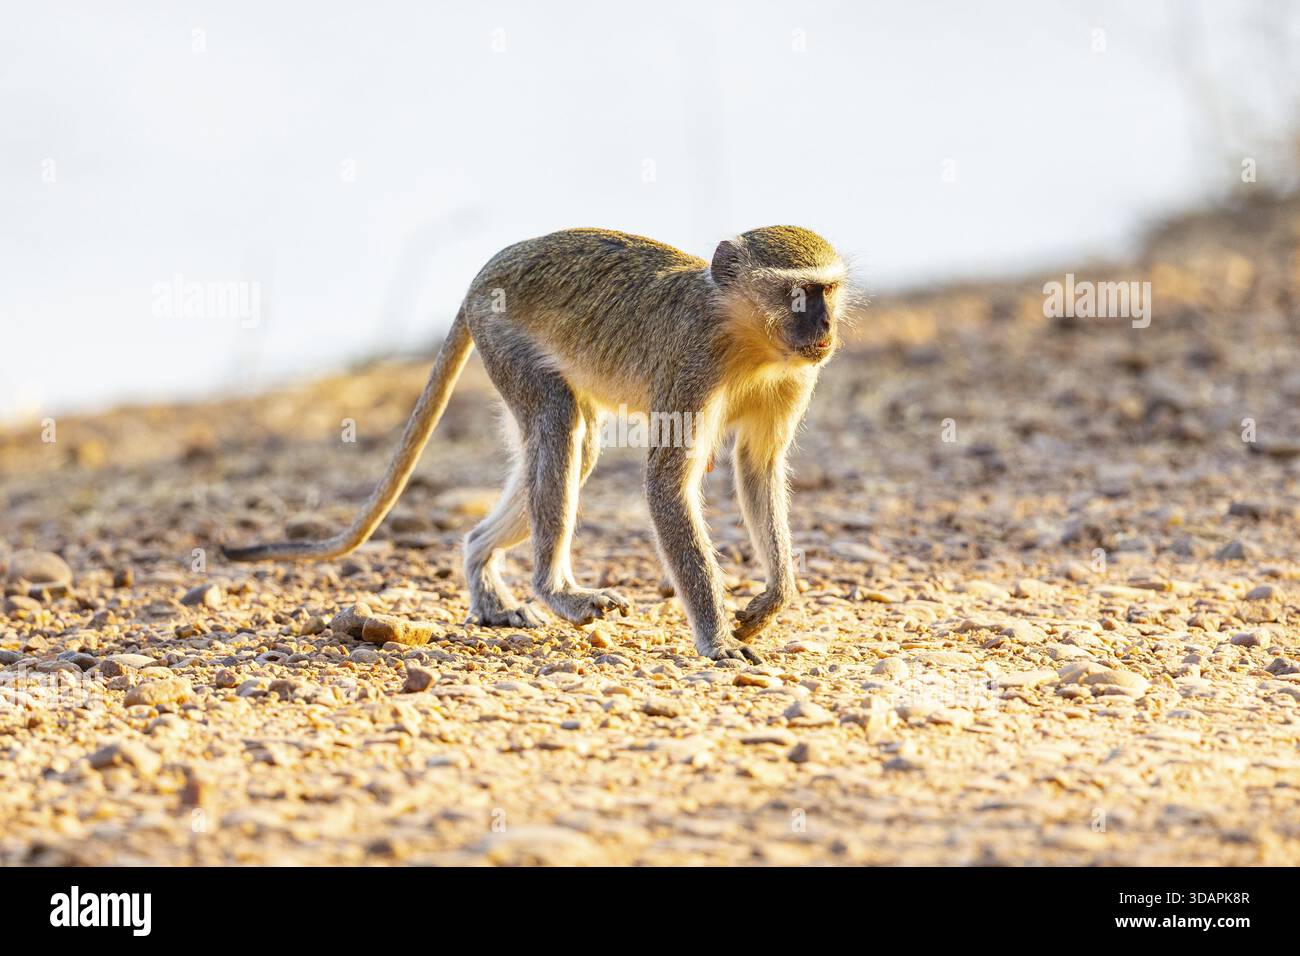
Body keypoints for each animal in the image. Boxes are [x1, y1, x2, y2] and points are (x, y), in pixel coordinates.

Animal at [222, 226, 851, 662]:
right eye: (799, 295)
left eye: (827, 292)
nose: (825, 330)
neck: (745, 339)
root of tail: (489, 269)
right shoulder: (692, 364)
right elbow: (668, 481)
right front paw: (717, 639)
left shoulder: (797, 376)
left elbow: (758, 467)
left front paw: (772, 599)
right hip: (501, 336)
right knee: (558, 425)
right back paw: (556, 591)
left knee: (575, 445)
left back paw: (482, 567)